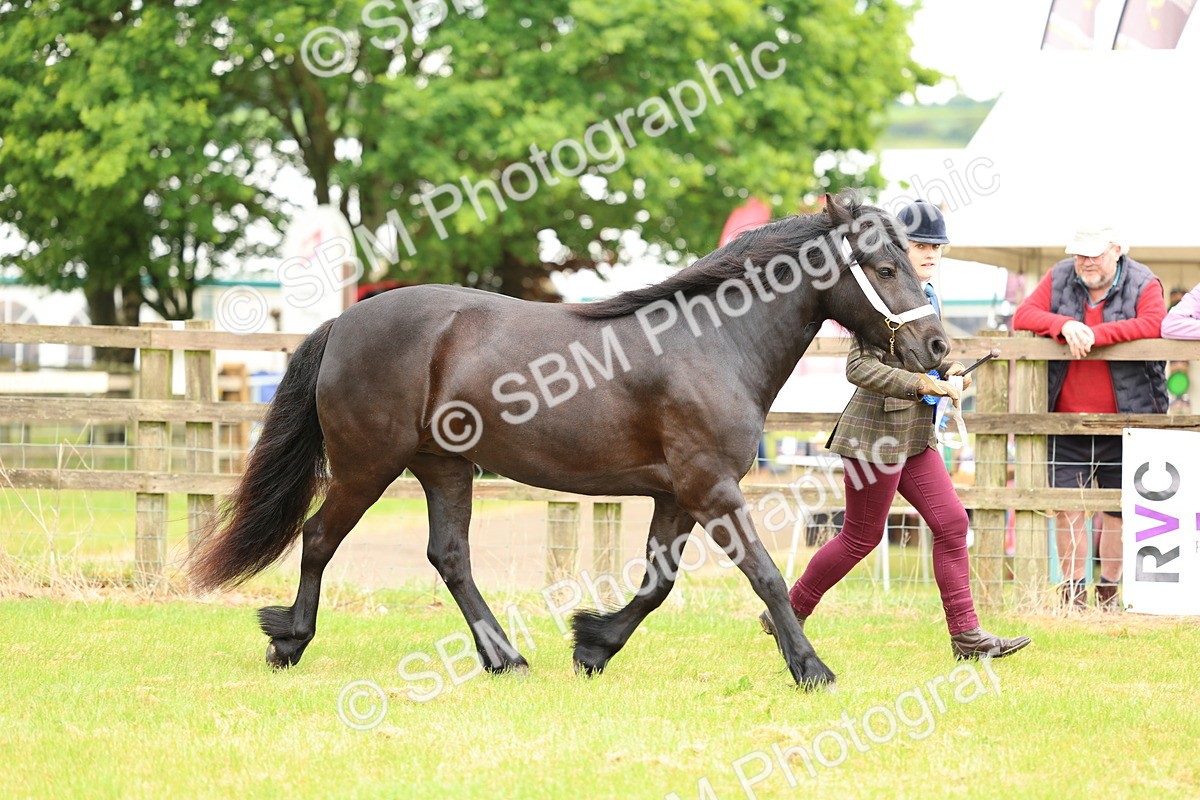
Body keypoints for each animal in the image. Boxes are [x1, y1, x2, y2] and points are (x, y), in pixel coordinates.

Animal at [189, 191, 947, 689]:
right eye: (884, 268)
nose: (938, 347)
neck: (713, 343)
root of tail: (345, 323)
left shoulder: (677, 496)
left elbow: (657, 583)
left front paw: (593, 645)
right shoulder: (712, 489)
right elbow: (764, 575)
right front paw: (811, 667)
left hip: (444, 467)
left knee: (450, 556)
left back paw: (504, 658)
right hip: (365, 466)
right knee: (319, 539)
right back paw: (289, 640)